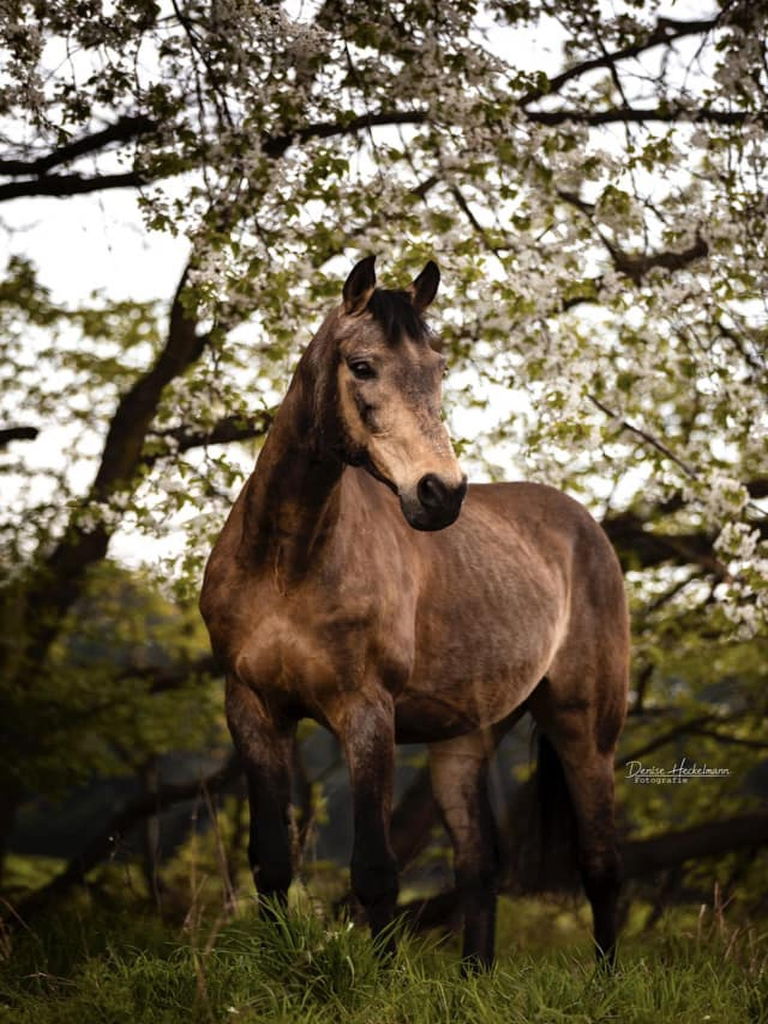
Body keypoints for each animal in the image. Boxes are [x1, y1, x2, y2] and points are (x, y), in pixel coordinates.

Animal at [199, 256, 630, 966]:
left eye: (437, 368)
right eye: (362, 366)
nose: (441, 493)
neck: (287, 562)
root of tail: (585, 525)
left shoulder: (367, 714)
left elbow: (375, 871)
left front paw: (376, 979)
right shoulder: (253, 709)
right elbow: (271, 862)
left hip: (586, 730)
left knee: (601, 868)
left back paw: (605, 982)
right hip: (466, 740)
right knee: (479, 868)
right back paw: (475, 979)